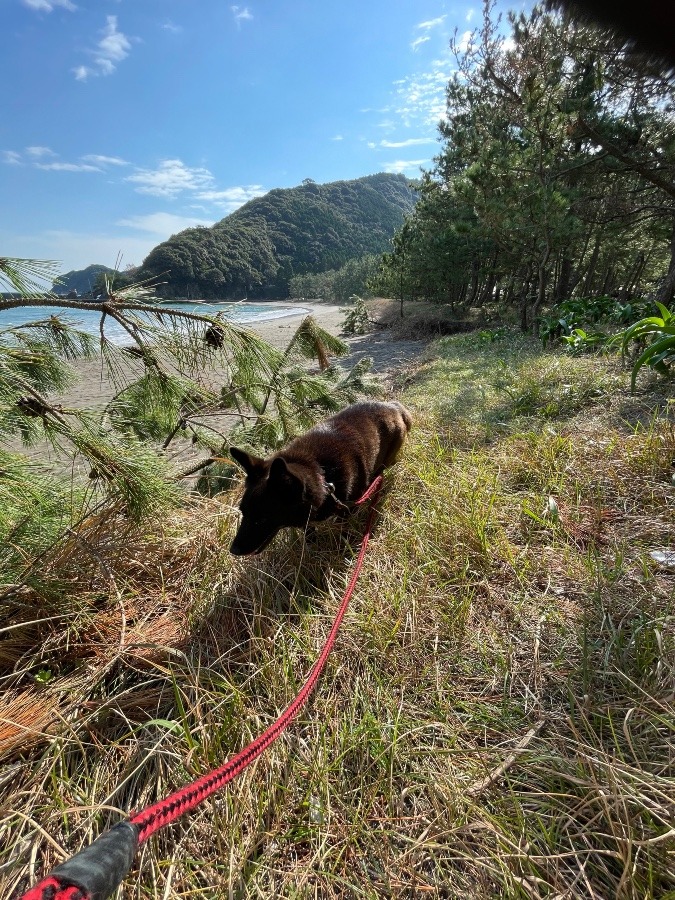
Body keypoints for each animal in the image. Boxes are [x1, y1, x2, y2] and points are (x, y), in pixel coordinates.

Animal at [230, 402, 414, 556]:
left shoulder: (348, 508)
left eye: (262, 519)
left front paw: (342, 547)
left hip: (385, 459)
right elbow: (309, 530)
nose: (233, 550)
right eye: (243, 513)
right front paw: (312, 544)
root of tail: (394, 407)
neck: (321, 472)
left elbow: (343, 529)